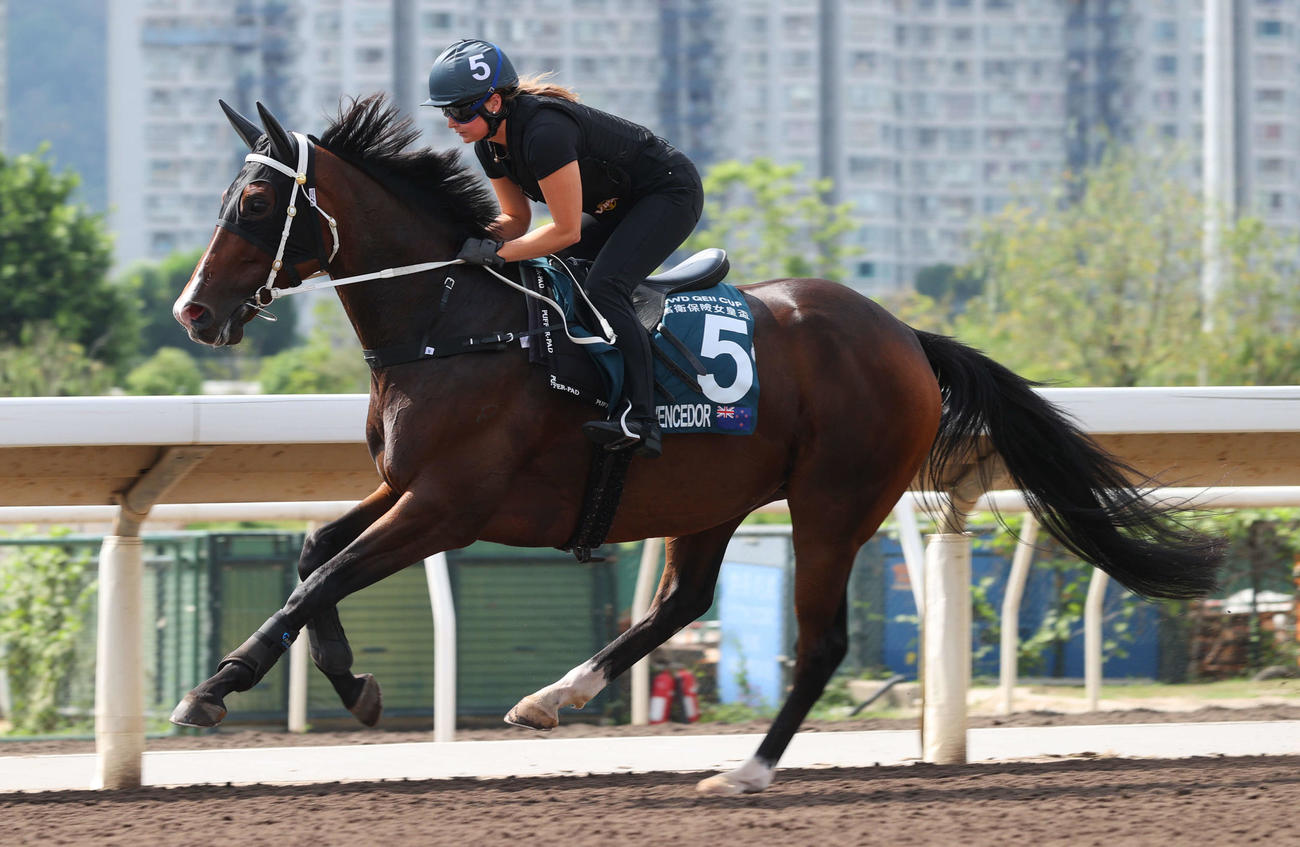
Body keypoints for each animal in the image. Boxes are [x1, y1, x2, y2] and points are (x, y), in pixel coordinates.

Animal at [170, 94, 1222, 795]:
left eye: (255, 207)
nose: (193, 312)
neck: (452, 321)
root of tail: (905, 337)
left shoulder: (448, 505)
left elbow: (318, 579)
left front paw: (212, 690)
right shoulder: (405, 487)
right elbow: (315, 556)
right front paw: (353, 685)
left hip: (835, 501)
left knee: (820, 639)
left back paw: (747, 769)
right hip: (711, 496)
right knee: (684, 599)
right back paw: (555, 695)